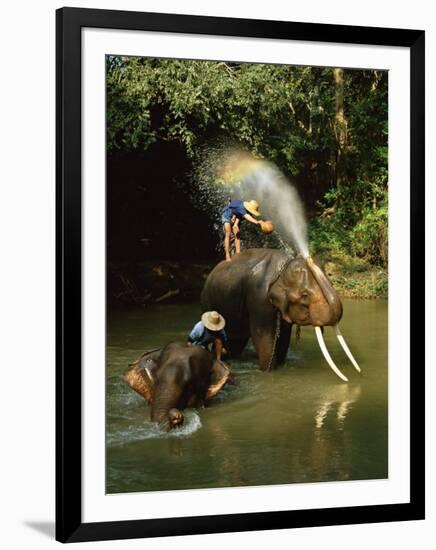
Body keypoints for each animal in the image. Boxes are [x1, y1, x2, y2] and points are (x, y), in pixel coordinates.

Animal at [201, 249, 362, 382]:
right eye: (304, 296)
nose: (309, 257)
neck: (281, 272)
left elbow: (284, 338)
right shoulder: (259, 299)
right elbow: (263, 337)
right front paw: (267, 372)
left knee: (237, 341)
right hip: (208, 300)